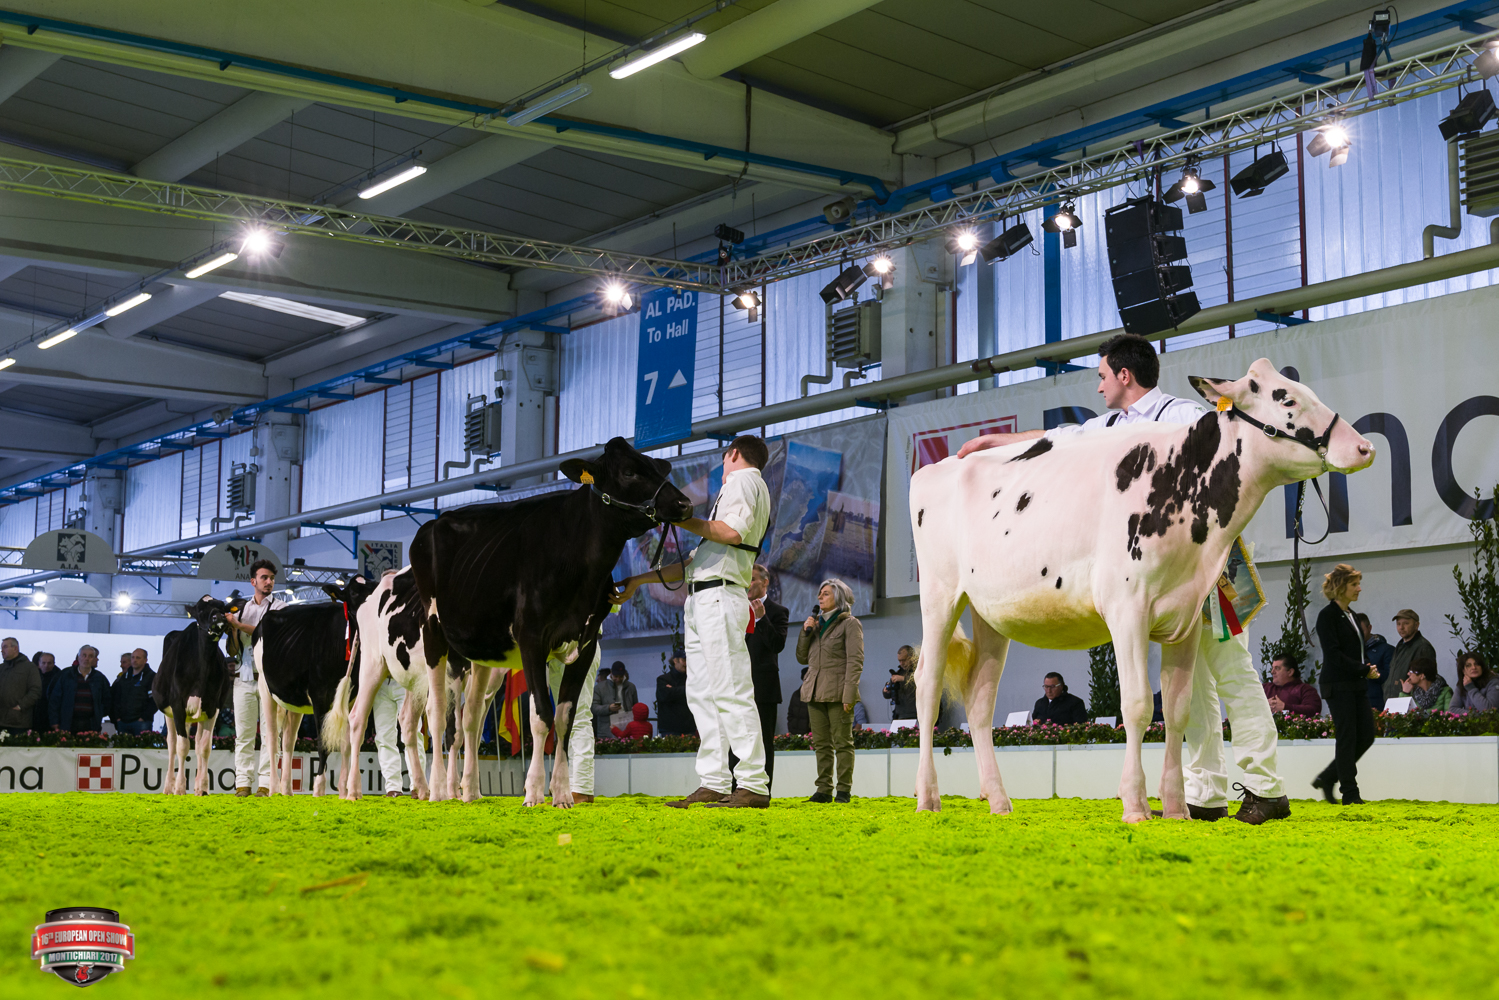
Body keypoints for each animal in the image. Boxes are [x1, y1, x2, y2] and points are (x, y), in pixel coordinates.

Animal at [152, 594, 241, 796]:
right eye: (200, 610)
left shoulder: (214, 706)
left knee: (198, 742)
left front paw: (202, 788)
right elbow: (183, 747)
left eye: (222, 607)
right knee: (172, 745)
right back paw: (168, 786)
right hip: (169, 713)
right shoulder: (177, 706)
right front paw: (179, 788)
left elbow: (205, 747)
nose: (219, 618)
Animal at [252, 578, 379, 796]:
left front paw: (343, 791)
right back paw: (274, 789)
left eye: (374, 587)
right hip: (264, 687)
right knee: (272, 739)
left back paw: (287, 790)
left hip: (294, 701)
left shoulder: (350, 697)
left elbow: (346, 744)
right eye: (354, 593)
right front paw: (319, 789)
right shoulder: (320, 696)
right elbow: (323, 744)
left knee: (288, 741)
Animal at [410, 436, 693, 806]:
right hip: (435, 635)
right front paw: (533, 792)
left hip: (481, 654)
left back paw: (470, 791)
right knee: (439, 714)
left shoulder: (585, 644)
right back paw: (439, 791)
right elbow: (541, 716)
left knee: (470, 717)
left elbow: (564, 718)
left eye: (660, 467)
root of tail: (434, 522)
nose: (684, 503)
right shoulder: (532, 639)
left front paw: (561, 794)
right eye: (630, 472)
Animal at [908, 360, 1375, 822]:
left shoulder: (1188, 614)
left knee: (980, 701)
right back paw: (927, 797)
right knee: (927, 685)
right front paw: (1134, 804)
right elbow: (1136, 706)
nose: (1365, 448)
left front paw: (1177, 809)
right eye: (1288, 399)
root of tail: (932, 468)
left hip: (989, 612)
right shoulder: (1126, 609)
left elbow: (1178, 710)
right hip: (939, 595)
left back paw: (999, 801)